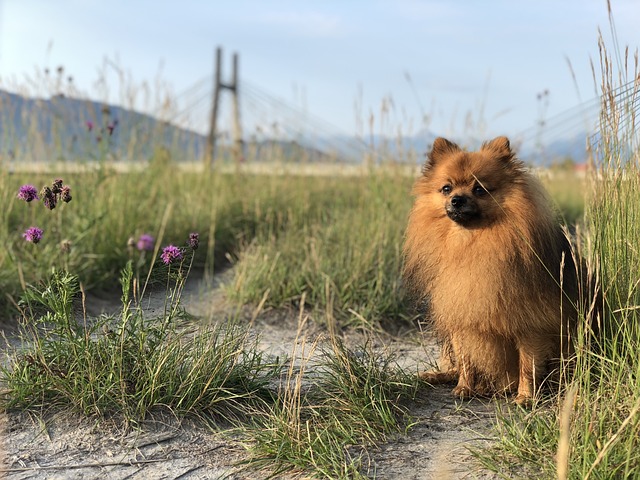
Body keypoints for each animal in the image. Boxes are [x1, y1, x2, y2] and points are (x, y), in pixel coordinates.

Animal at [404, 136, 580, 404]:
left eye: (479, 189)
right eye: (447, 188)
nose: (457, 199)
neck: (471, 242)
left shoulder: (530, 323)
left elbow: (527, 363)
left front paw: (525, 397)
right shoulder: (461, 319)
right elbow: (466, 359)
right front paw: (464, 388)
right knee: (454, 365)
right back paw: (439, 375)